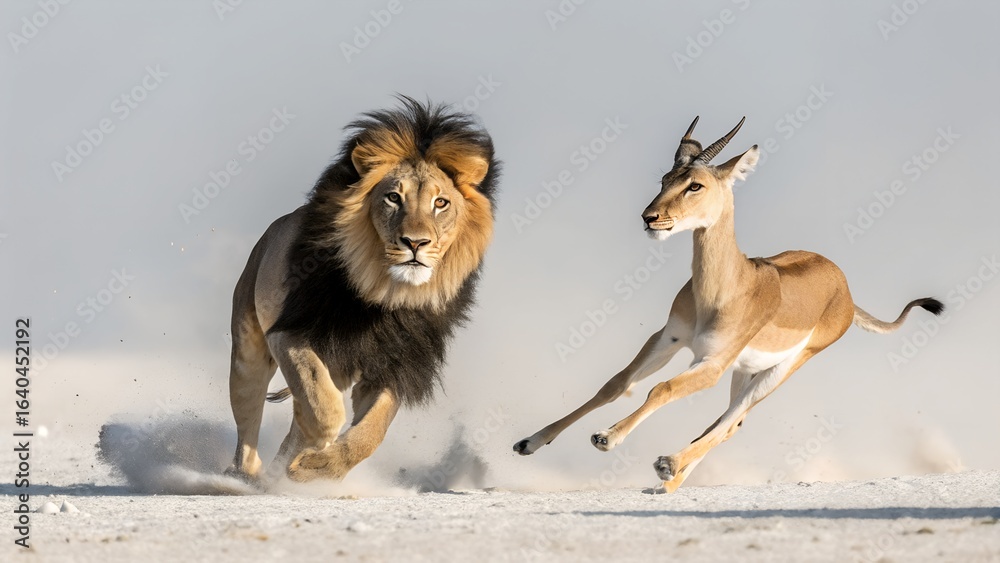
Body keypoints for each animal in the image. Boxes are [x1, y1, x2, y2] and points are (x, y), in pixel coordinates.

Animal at [226, 97, 500, 483]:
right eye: (393, 198)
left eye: (440, 203)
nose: (415, 243)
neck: (387, 293)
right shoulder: (288, 334)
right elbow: (323, 409)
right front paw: (312, 449)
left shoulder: (395, 364)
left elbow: (372, 431)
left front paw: (316, 466)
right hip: (248, 352)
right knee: (248, 430)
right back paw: (245, 477)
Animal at [513, 116, 943, 492]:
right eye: (665, 179)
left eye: (695, 185)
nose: (650, 218)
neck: (726, 290)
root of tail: (846, 291)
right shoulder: (669, 338)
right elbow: (616, 383)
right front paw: (529, 442)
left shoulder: (712, 363)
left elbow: (661, 389)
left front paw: (606, 437)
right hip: (745, 370)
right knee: (729, 423)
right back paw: (667, 483)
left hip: (780, 370)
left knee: (730, 422)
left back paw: (666, 465)